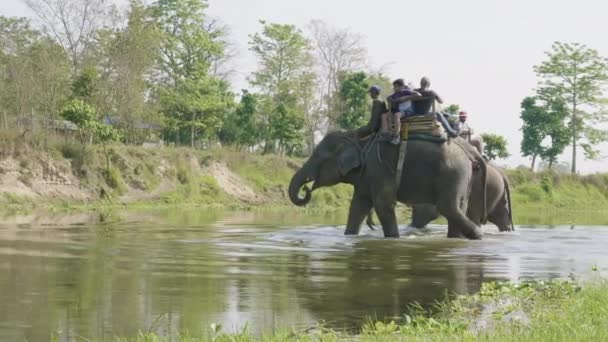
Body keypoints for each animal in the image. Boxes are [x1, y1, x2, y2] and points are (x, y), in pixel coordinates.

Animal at [288, 131, 486, 240]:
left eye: (318, 157)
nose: (306, 189)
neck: (358, 138)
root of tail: (469, 153)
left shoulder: (379, 168)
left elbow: (383, 204)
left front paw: (393, 239)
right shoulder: (366, 175)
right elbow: (358, 206)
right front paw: (350, 236)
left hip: (452, 173)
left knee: (448, 207)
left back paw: (477, 236)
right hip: (461, 176)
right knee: (458, 207)